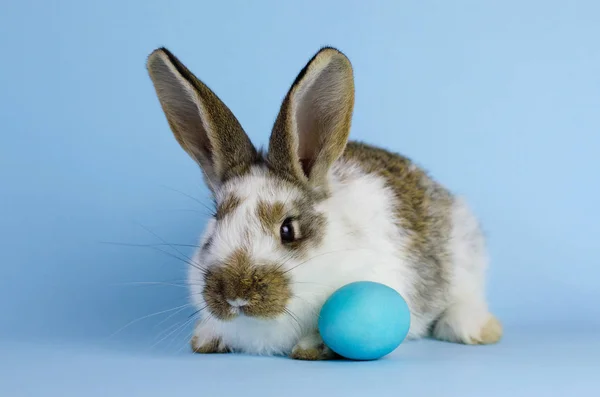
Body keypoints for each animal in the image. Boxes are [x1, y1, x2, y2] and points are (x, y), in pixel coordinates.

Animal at [145, 44, 502, 358]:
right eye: (217, 221)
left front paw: (312, 347)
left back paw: (476, 329)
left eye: (288, 230)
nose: (236, 296)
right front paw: (205, 339)